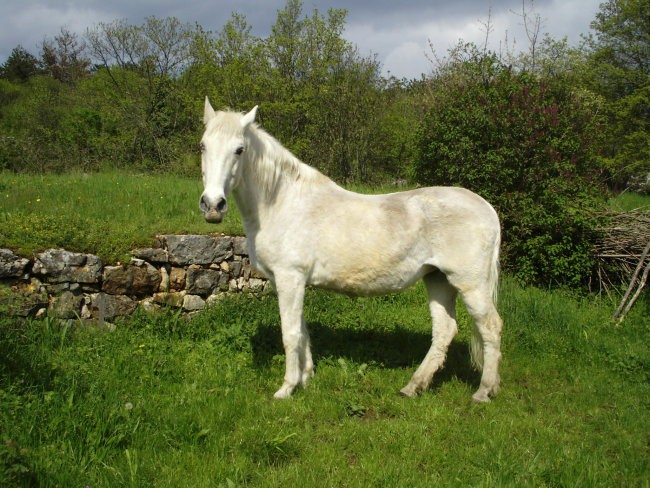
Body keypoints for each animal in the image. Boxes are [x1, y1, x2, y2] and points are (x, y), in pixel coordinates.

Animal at [200, 98, 504, 400]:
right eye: (203, 146)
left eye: (240, 149)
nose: (213, 205)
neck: (282, 202)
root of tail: (486, 208)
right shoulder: (289, 282)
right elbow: (303, 331)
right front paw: (306, 379)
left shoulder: (290, 278)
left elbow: (291, 334)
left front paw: (287, 388)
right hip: (438, 279)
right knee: (444, 331)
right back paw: (414, 386)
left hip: (470, 284)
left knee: (490, 327)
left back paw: (484, 391)